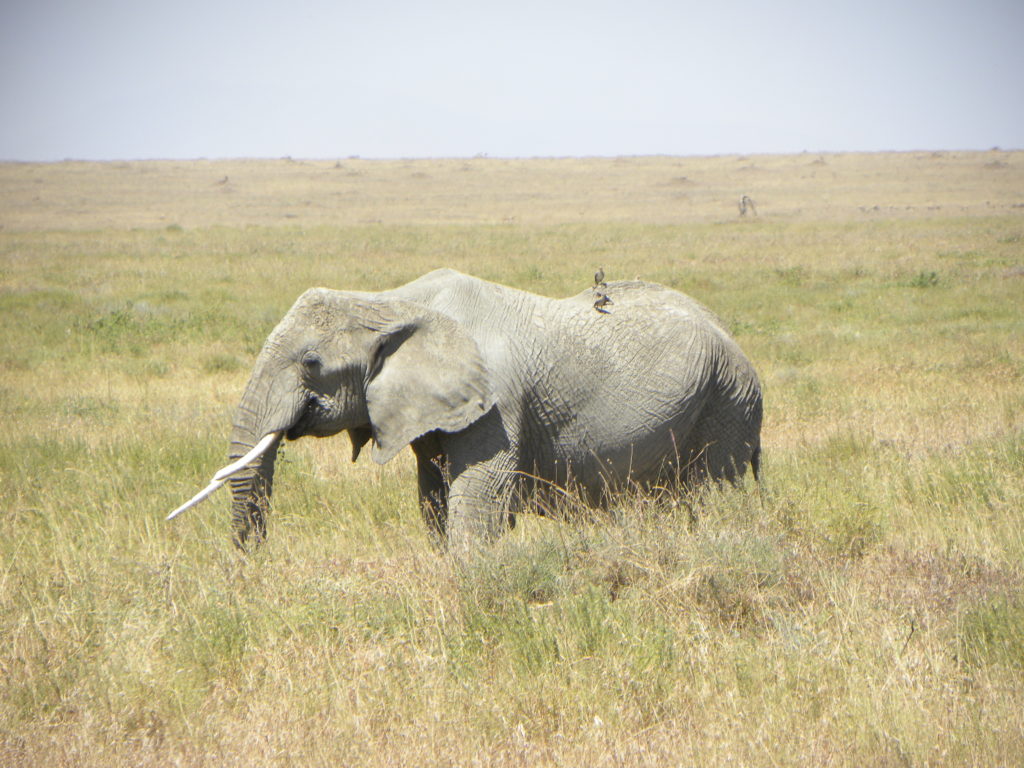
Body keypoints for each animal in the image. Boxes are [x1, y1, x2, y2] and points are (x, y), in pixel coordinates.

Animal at [169, 268, 761, 552]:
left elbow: (478, 501)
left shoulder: (497, 404)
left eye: (311, 363)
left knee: (715, 496)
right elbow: (434, 498)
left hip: (727, 401)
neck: (390, 299)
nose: (248, 571)